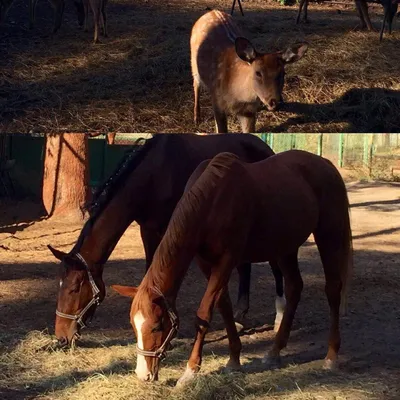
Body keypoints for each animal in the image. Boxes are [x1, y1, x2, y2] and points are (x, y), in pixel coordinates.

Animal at [48, 134, 284, 346]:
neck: (152, 175)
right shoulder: (147, 230)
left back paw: (279, 316)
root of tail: (264, 146)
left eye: (75, 288)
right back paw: (240, 317)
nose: (61, 337)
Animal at [111, 150, 352, 384]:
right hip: (285, 247)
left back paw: (331, 356)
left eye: (157, 326)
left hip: (328, 235)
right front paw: (234, 360)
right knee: (294, 287)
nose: (143, 374)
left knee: (333, 289)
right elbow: (224, 306)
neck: (212, 202)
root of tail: (327, 165)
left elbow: (204, 313)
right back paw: (274, 351)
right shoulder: (206, 263)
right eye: (133, 326)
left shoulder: (226, 260)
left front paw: (190, 370)